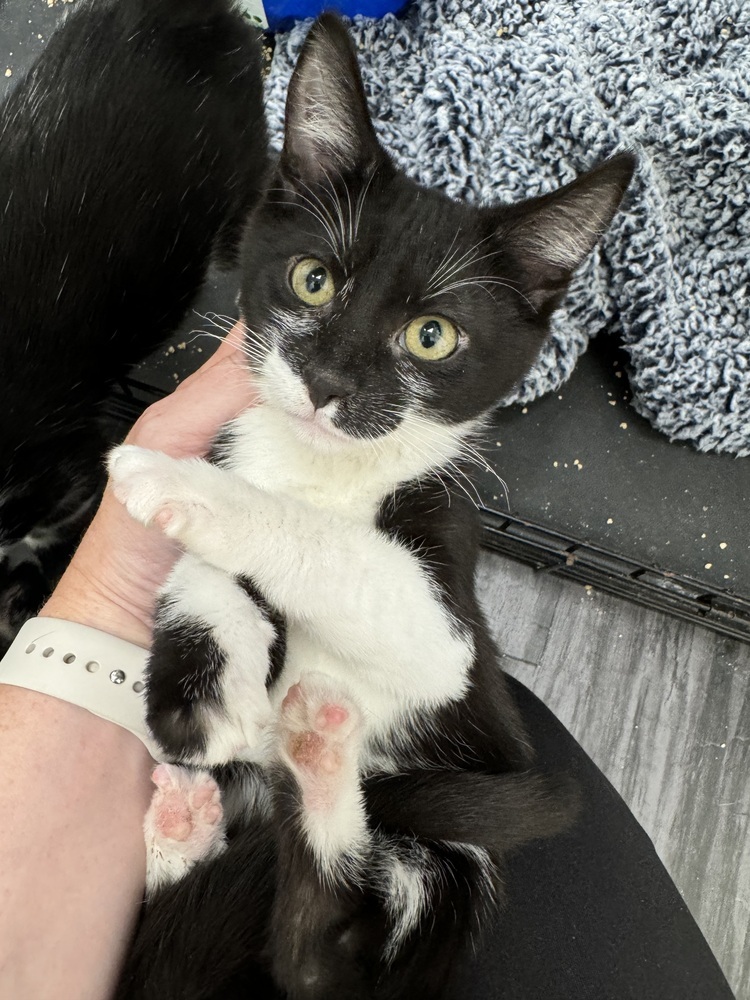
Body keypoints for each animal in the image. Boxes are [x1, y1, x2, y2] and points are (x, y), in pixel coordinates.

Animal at [111, 13, 636, 1000]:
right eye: (312, 279)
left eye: (432, 337)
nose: (327, 384)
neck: (325, 470)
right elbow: (205, 578)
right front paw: (208, 686)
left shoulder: (448, 621)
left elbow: (334, 552)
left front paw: (173, 485)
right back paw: (185, 822)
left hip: (442, 855)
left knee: (320, 956)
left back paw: (316, 761)